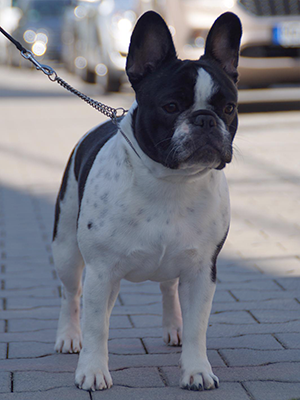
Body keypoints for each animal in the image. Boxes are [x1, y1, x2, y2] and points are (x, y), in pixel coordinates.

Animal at [52, 11, 243, 390]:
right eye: (170, 106)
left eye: (229, 108)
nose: (205, 119)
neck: (171, 181)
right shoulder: (101, 270)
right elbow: (96, 326)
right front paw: (92, 370)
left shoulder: (202, 270)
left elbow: (198, 326)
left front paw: (196, 370)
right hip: (66, 249)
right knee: (72, 295)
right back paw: (68, 336)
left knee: (168, 289)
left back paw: (174, 328)